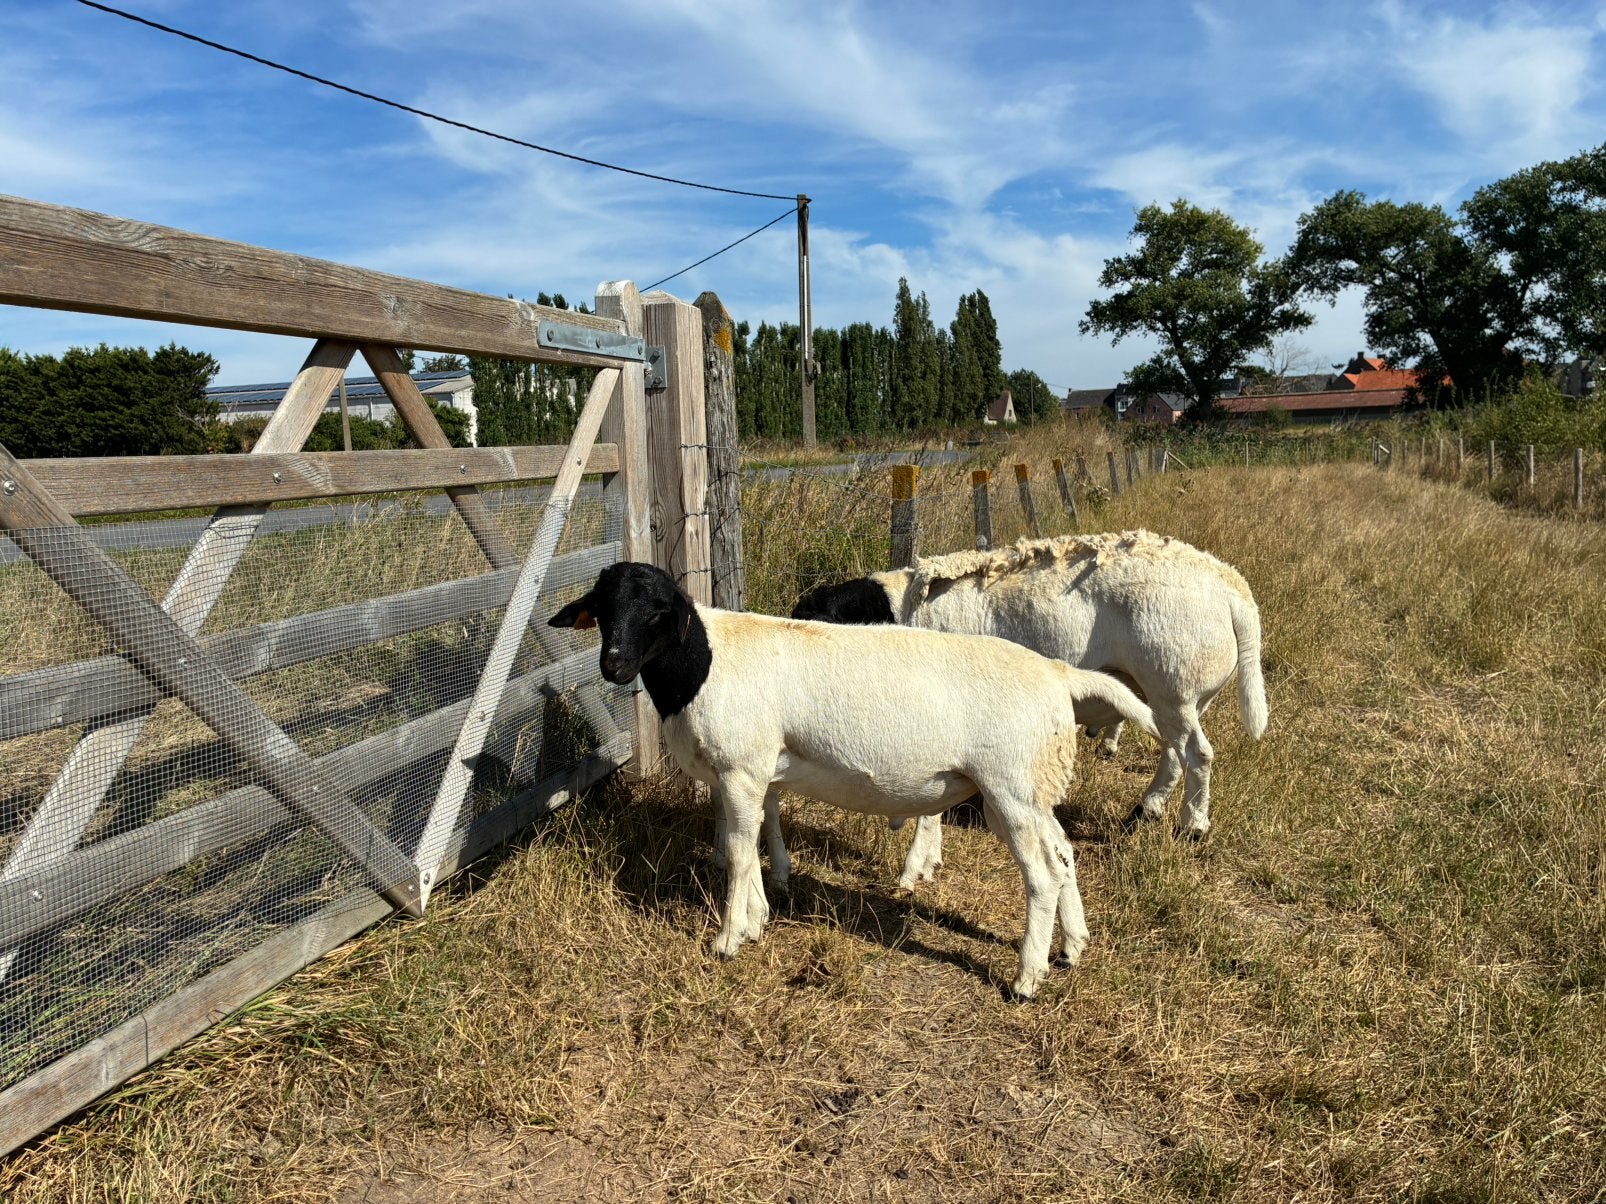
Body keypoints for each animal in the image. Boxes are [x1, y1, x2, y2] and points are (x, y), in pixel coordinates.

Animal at [549, 560, 1160, 1000]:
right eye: (600, 609)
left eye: (658, 611)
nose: (614, 665)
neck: (702, 666)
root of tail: (1060, 677)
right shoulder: (754, 771)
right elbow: (753, 838)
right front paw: (759, 918)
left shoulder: (741, 769)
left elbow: (741, 852)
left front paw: (728, 939)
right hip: (1035, 786)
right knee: (1064, 853)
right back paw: (1073, 947)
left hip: (1009, 787)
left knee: (1042, 874)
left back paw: (1027, 979)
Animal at [793, 531, 1268, 856]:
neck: (899, 610)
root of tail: (1233, 591)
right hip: (1179, 697)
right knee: (1174, 752)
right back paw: (1145, 810)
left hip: (1175, 684)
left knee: (1197, 755)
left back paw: (1192, 826)